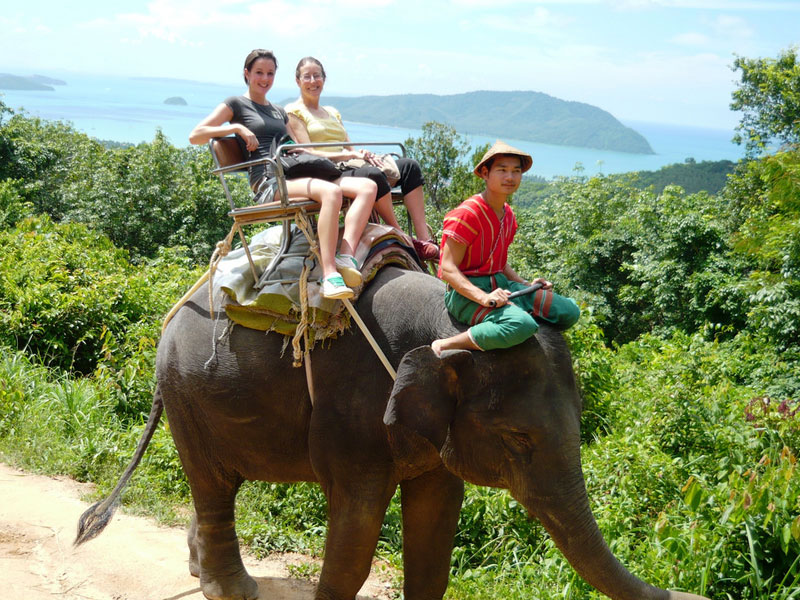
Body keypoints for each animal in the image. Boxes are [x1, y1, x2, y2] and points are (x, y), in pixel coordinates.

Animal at [76, 265, 709, 600]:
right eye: (518, 439)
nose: (691, 594)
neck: (448, 324)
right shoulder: (352, 412)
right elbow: (355, 530)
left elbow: (435, 527)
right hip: (186, 395)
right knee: (212, 485)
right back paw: (232, 591)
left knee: (219, 486)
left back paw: (199, 570)